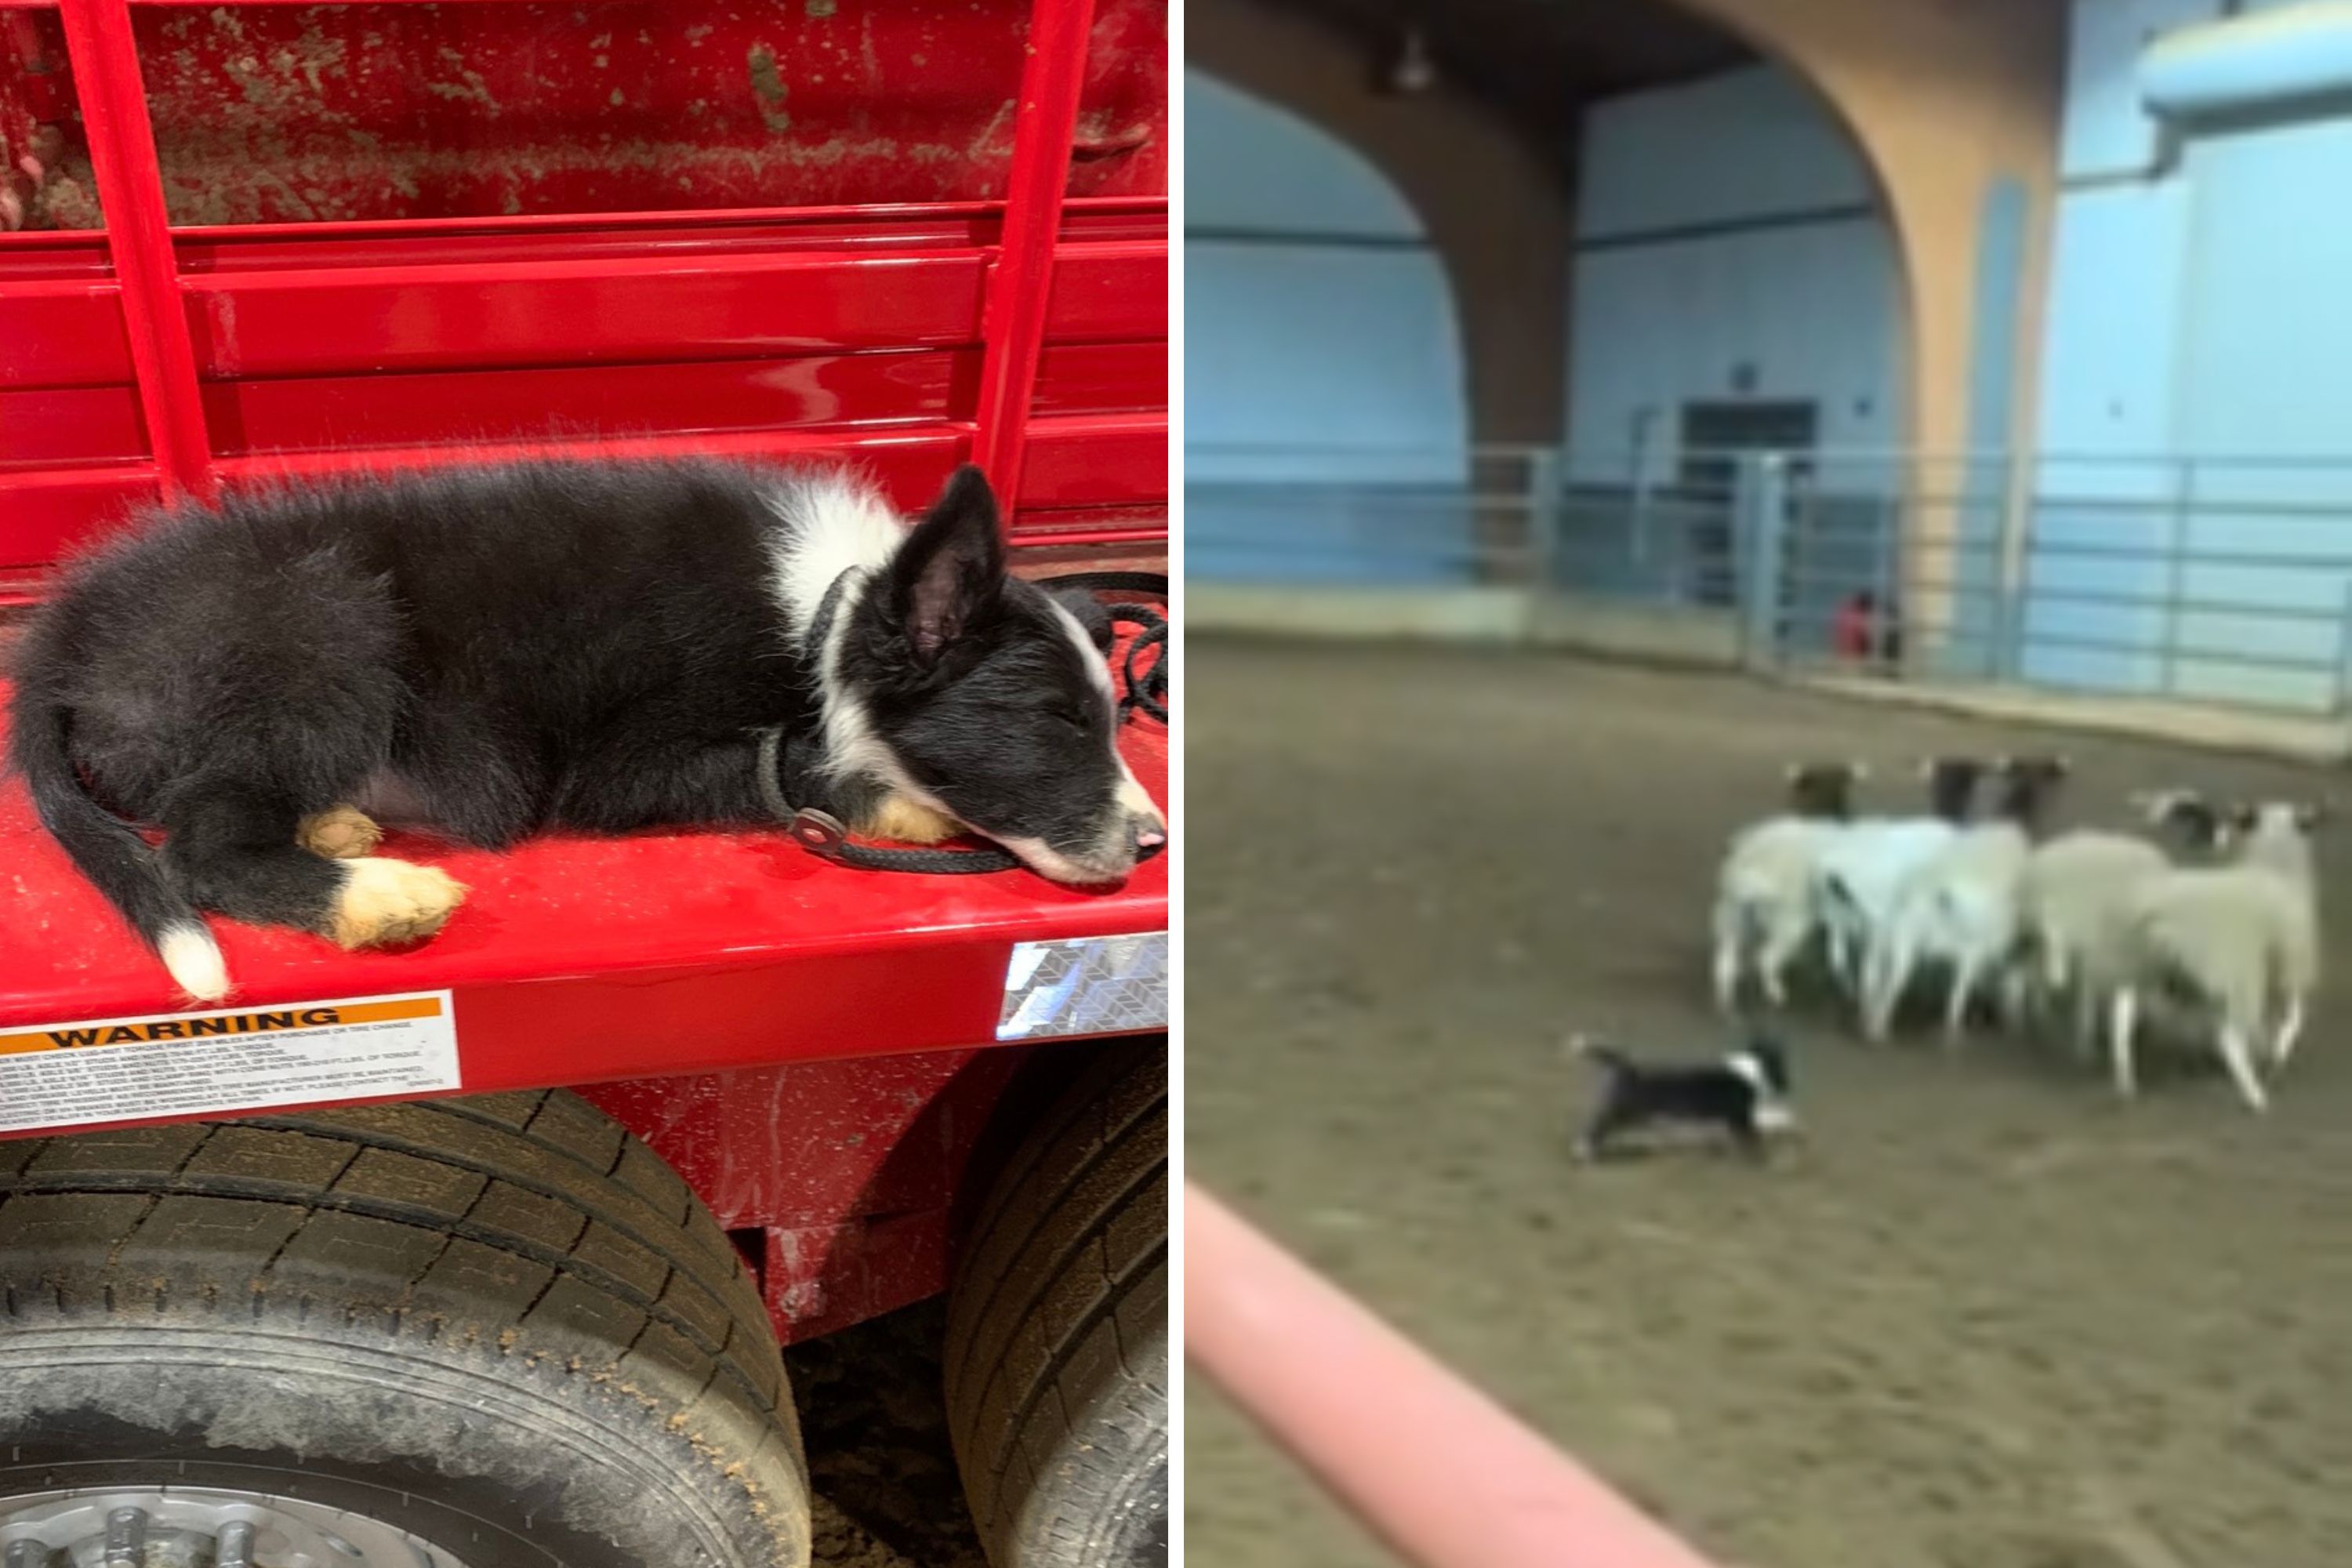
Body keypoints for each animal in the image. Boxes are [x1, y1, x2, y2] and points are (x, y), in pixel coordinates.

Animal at [9, 460, 1167, 1001]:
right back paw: (372, 896)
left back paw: (338, 827)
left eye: (1109, 716)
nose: (1154, 843)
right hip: (320, 624)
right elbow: (788, 759)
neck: (829, 615)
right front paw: (902, 802)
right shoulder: (620, 767)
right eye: (1054, 722)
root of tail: (67, 633)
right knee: (203, 846)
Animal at [1562, 1034, 1797, 1161]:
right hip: (1626, 1111)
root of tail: (1629, 1068)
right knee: (1599, 1128)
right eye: (1783, 1070)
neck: (1751, 1069)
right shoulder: (1740, 1116)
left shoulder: (1732, 1120)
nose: (1789, 1086)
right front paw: (1759, 1156)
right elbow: (1752, 1137)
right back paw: (1583, 1151)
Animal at [1712, 761, 1853, 1020]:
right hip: (1789, 922)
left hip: (1732, 917)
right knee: (1765, 960)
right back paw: (1775, 995)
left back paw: (1727, 1008)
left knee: (1725, 964)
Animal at [1863, 757, 2070, 1044]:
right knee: (1926, 988)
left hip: (1894, 938)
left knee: (1874, 976)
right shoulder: (1990, 946)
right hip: (1950, 947)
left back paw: (1869, 1019)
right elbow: (2005, 983)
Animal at [2107, 804, 2324, 1109]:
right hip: (2236, 971)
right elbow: (2296, 1015)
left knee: (2122, 1014)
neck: (2274, 867)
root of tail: (2161, 915)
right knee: (2229, 1039)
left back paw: (2126, 1079)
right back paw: (2255, 1097)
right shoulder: (2291, 963)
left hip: (2141, 964)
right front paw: (2278, 1050)